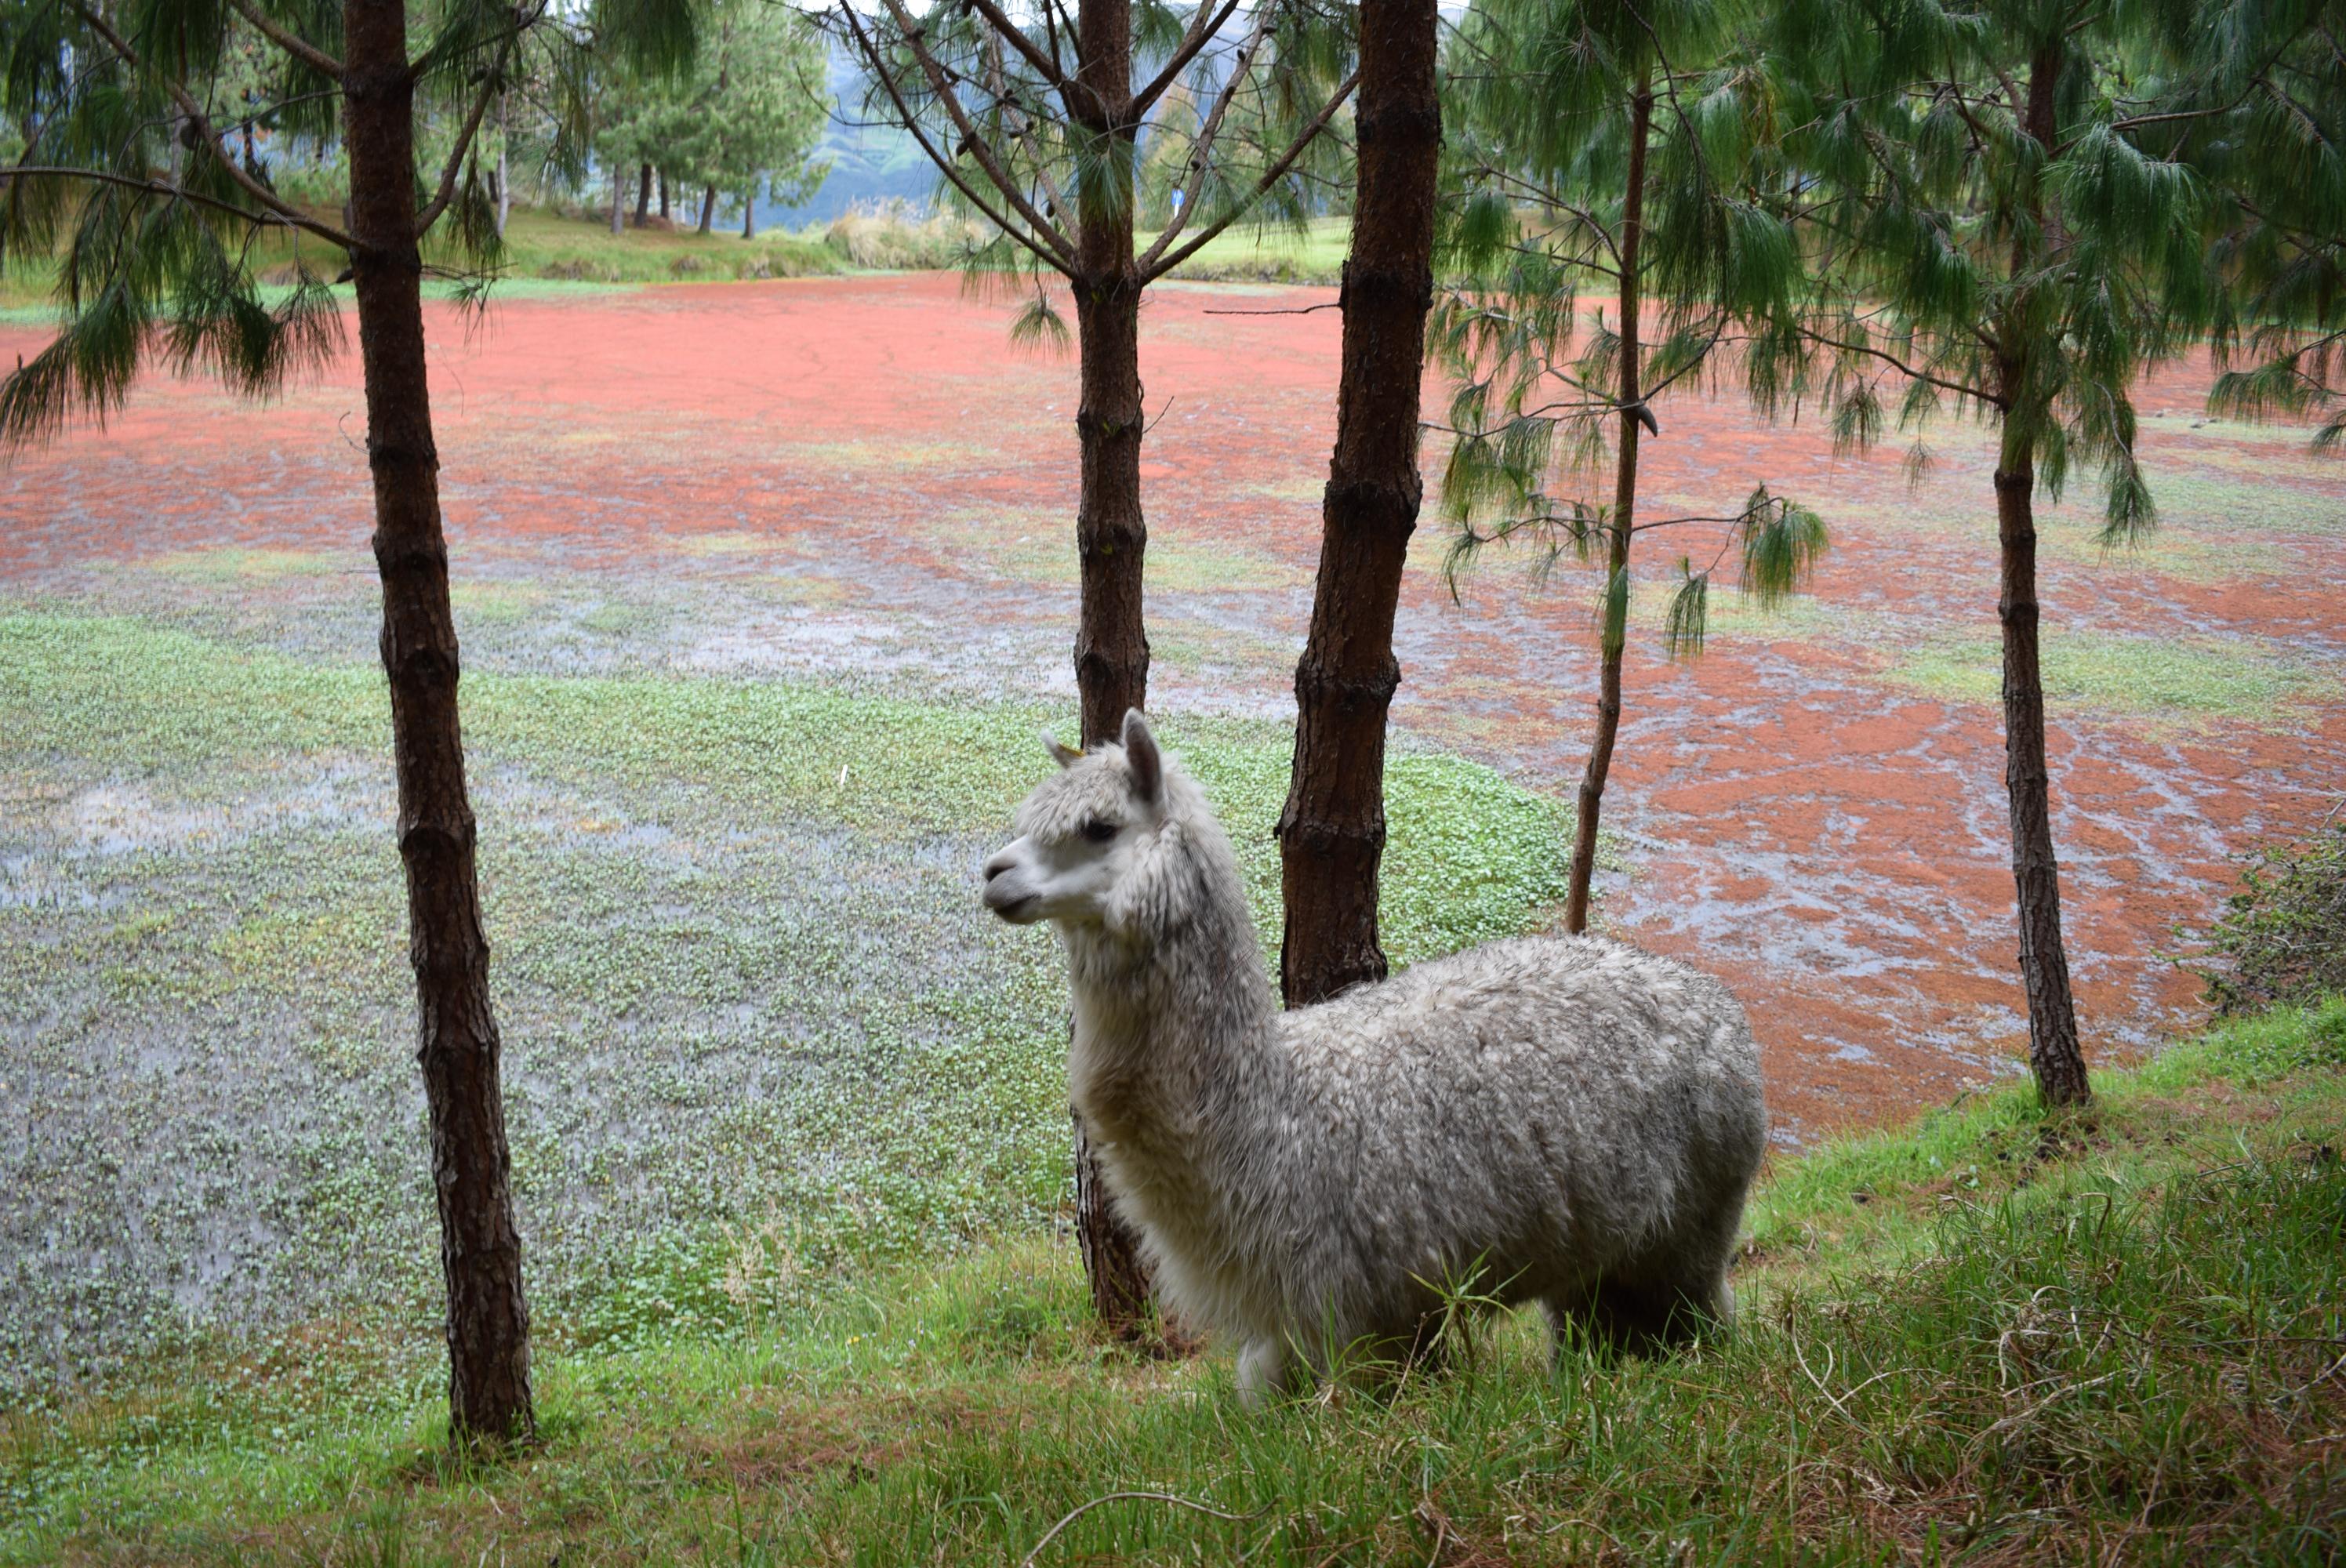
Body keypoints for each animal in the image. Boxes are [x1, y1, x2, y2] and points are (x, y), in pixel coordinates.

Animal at [980, 709, 1767, 1402]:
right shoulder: (1285, 1332)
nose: (994, 873)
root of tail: (1717, 1001)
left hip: (1691, 1234)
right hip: (1595, 1257)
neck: (1273, 1115)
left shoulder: (1370, 1319)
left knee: (1705, 1324)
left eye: (1098, 827)